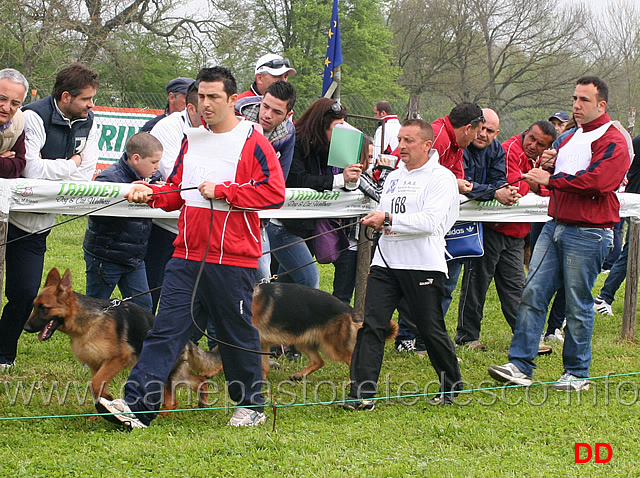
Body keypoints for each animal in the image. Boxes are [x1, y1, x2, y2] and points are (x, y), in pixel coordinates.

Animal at [252, 284, 398, 380]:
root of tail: (349, 309)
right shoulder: (261, 344)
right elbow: (263, 365)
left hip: (334, 347)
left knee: (351, 359)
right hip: (303, 341)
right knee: (318, 361)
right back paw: (299, 375)